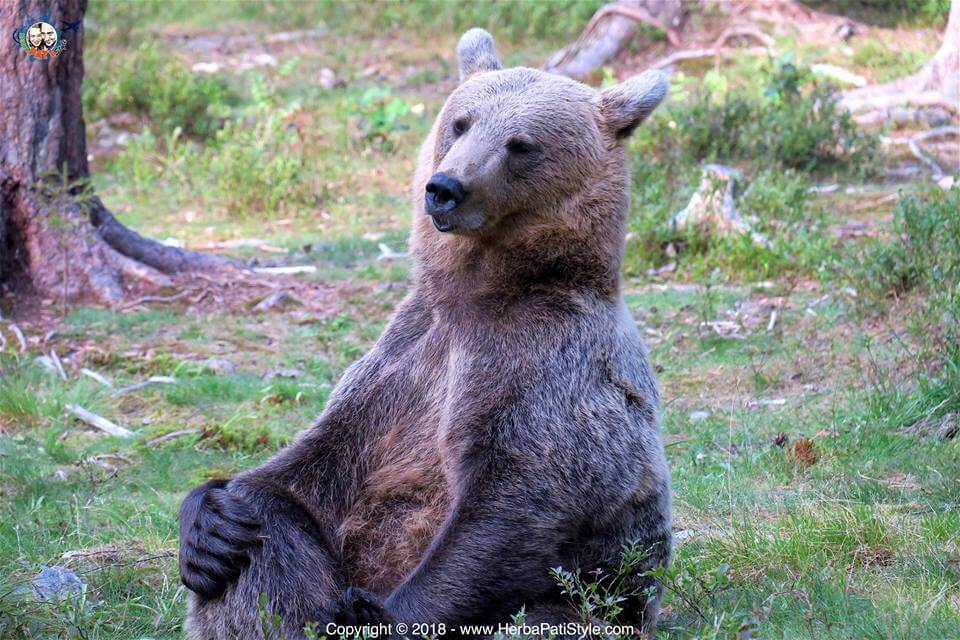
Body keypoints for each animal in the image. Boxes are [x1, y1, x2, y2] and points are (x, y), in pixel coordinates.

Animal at [178, 28, 672, 640]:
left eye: (521, 144)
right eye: (460, 122)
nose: (445, 187)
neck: (481, 294)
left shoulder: (544, 360)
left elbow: (517, 496)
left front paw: (380, 613)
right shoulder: (403, 361)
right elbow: (305, 471)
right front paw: (207, 519)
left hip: (590, 604)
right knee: (263, 543)